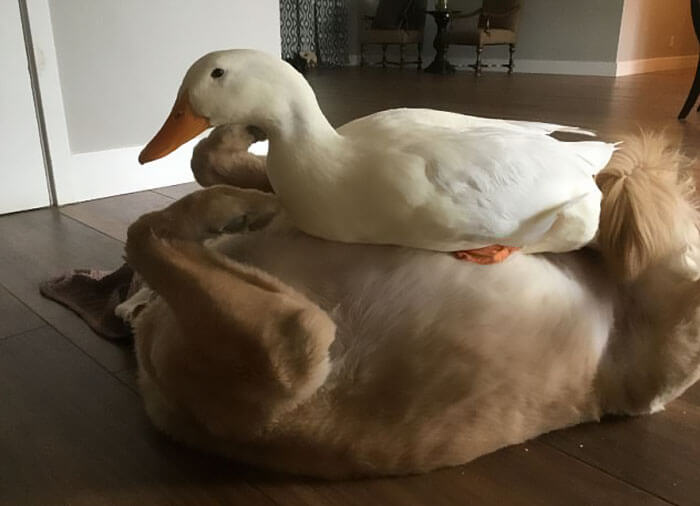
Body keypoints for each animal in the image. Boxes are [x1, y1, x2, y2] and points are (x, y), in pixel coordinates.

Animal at [123, 128, 700, 476]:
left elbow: (200, 172)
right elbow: (142, 228)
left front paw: (231, 186)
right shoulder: (294, 340)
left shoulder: (328, 198)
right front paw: (223, 208)